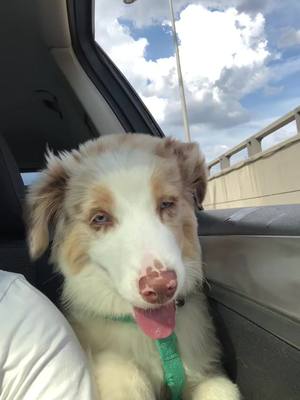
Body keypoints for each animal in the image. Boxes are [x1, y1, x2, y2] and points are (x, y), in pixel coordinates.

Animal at [26, 135, 241, 400]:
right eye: (100, 217)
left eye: (166, 203)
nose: (160, 287)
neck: (155, 339)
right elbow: (122, 373)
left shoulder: (208, 371)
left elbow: (221, 389)